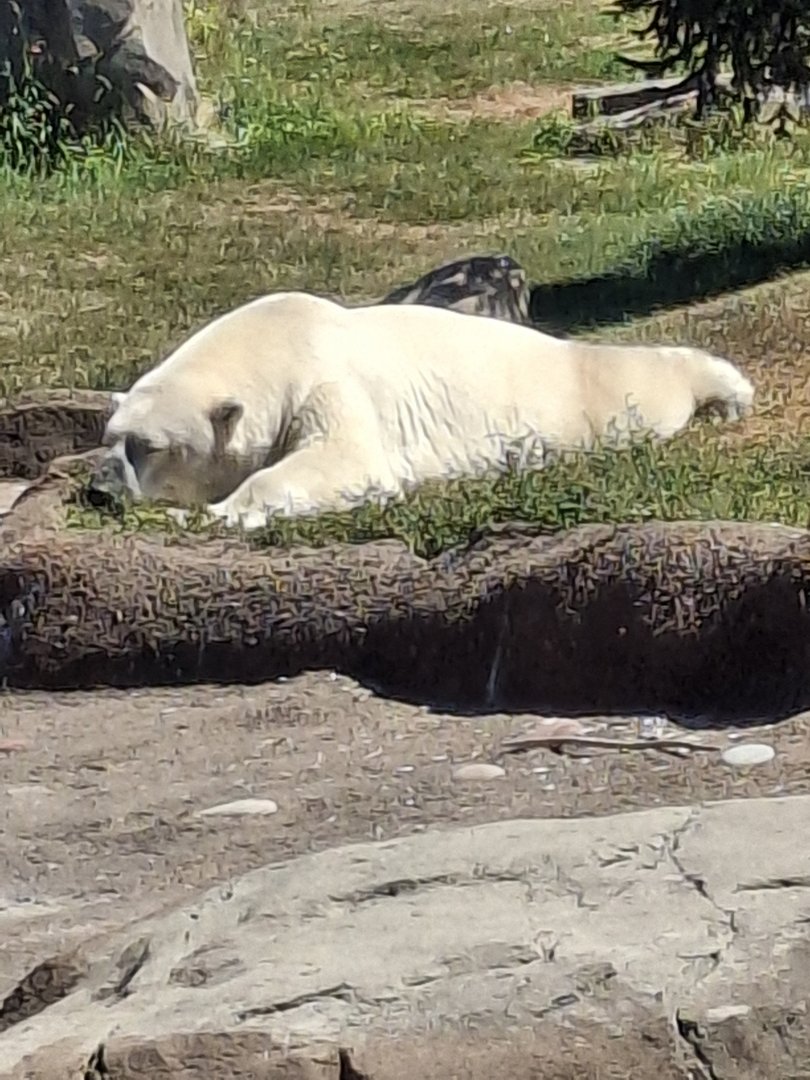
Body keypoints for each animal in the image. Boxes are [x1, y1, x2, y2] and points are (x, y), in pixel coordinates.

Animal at [91, 290, 755, 531]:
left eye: (147, 447)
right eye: (110, 435)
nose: (99, 490)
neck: (276, 340)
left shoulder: (325, 384)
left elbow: (345, 461)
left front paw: (211, 513)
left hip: (576, 394)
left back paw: (721, 391)